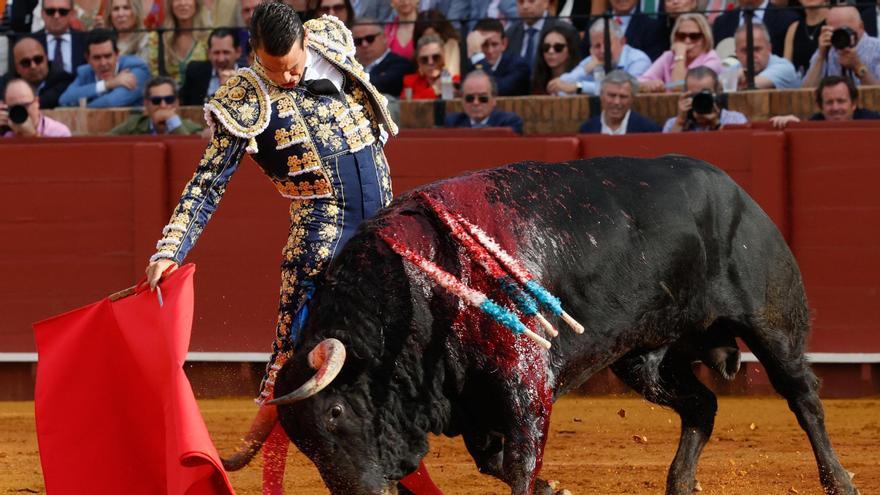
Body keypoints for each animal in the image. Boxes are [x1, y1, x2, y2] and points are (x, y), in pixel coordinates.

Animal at [223, 156, 856, 495]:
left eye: (334, 412)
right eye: (301, 440)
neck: (419, 294)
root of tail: (737, 189)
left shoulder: (525, 381)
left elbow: (521, 461)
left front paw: (546, 482)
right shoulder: (470, 397)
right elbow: (496, 461)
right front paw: (556, 485)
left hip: (770, 322)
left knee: (803, 397)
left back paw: (838, 480)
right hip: (644, 360)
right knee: (701, 404)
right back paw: (679, 483)